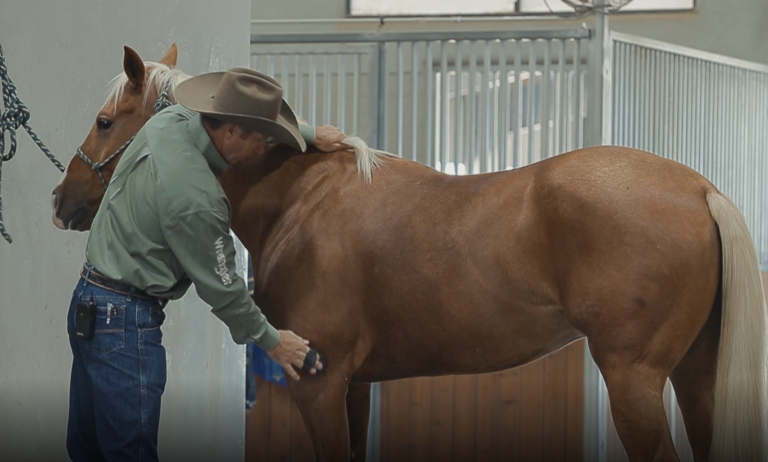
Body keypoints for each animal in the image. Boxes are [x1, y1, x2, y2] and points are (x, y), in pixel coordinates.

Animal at [51, 43, 767, 462]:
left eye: (107, 121)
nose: (63, 200)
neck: (303, 200)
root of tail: (700, 189)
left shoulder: (319, 385)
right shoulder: (357, 386)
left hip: (635, 382)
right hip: (694, 378)